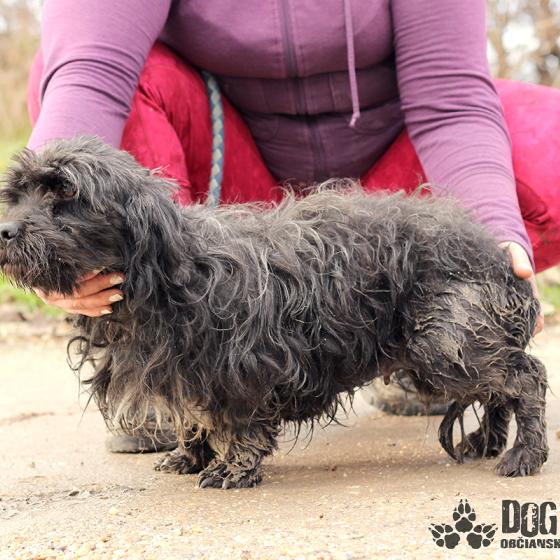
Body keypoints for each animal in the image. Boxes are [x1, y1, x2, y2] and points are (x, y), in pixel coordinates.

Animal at [0, 137, 548, 488]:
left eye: (67, 192)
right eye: (17, 194)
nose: (4, 230)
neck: (166, 271)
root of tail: (497, 256)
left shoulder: (241, 366)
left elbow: (239, 423)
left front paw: (232, 467)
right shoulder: (185, 372)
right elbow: (193, 416)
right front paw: (190, 454)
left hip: (445, 344)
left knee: (526, 378)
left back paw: (525, 453)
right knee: (499, 389)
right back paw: (486, 440)